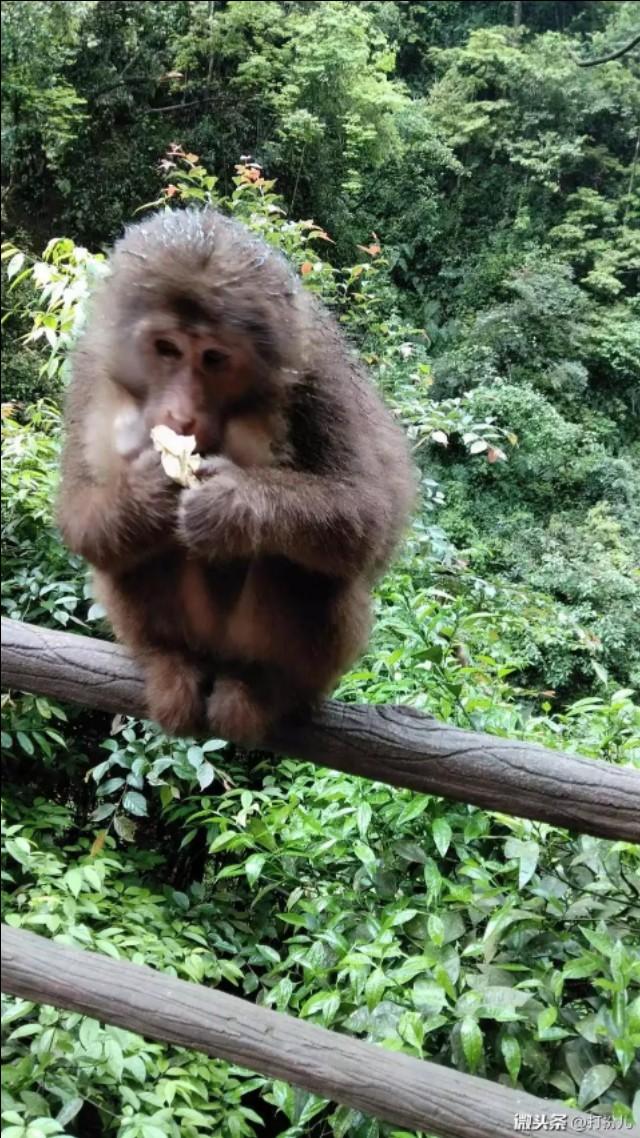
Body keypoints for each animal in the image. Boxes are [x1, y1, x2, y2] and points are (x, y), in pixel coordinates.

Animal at [57, 208, 416, 741]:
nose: (180, 416)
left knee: (300, 562)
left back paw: (266, 686)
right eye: (167, 348)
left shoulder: (318, 370)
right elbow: (78, 516)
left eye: (214, 358)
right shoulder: (89, 369)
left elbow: (370, 516)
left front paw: (232, 504)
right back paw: (168, 658)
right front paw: (148, 496)